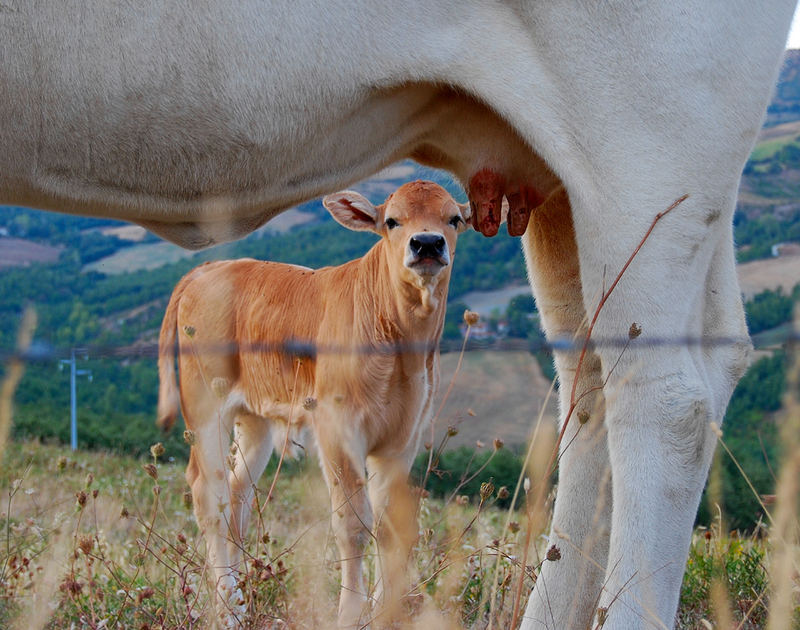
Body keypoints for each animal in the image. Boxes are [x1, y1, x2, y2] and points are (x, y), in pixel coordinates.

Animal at [156, 180, 468, 628]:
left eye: (454, 219)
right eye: (392, 221)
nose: (427, 243)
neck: (402, 341)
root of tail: (209, 267)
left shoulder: (403, 437)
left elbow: (391, 526)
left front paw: (384, 612)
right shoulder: (336, 428)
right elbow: (352, 525)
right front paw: (350, 613)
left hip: (254, 418)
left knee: (237, 493)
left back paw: (239, 600)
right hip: (204, 404)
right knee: (208, 493)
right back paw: (228, 608)